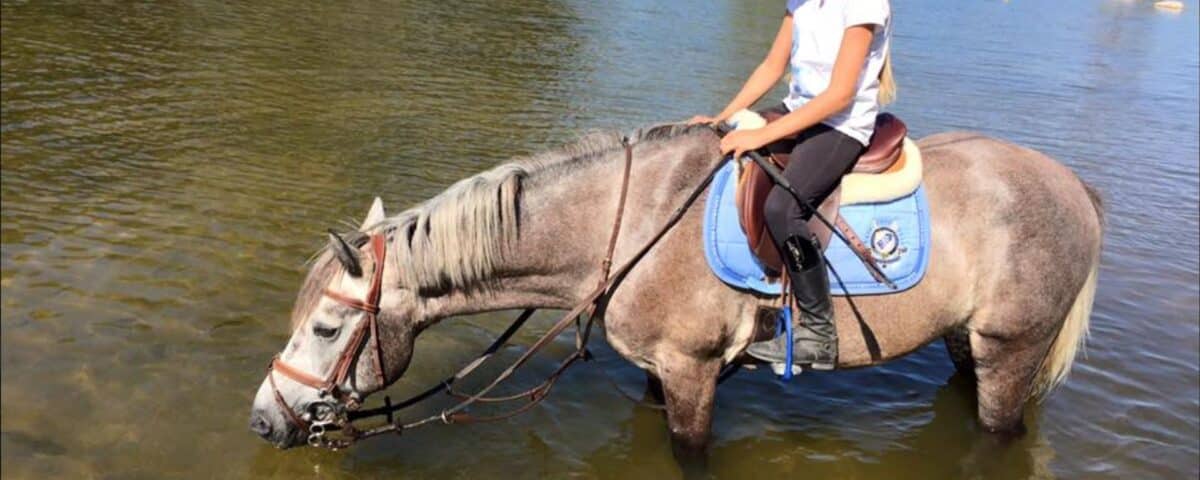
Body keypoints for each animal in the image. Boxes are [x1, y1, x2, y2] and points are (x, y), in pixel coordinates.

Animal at [248, 123, 1103, 456]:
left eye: (326, 329)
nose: (263, 418)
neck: (622, 227)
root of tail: (1074, 188)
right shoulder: (661, 375)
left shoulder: (693, 375)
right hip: (972, 348)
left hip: (1009, 351)